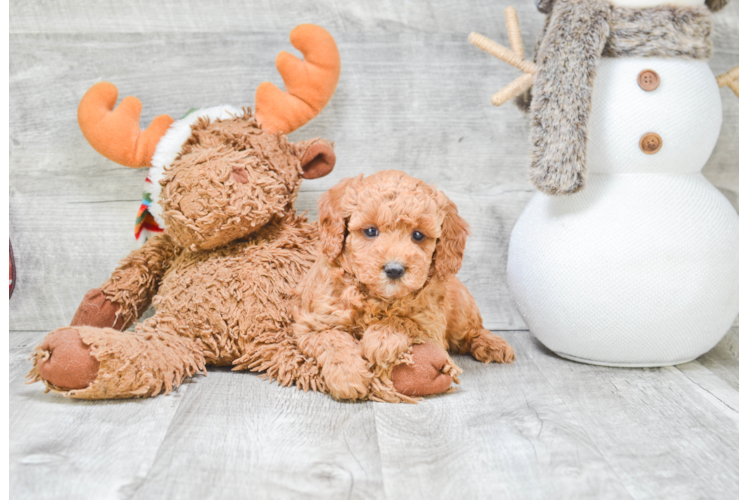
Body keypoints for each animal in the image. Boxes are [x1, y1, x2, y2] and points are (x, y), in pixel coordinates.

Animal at [292, 172, 516, 402]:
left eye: (418, 235)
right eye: (370, 231)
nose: (394, 269)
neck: (377, 297)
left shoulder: (431, 323)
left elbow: (404, 320)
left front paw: (381, 341)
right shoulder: (314, 322)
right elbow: (331, 338)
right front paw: (348, 375)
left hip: (462, 308)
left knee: (471, 330)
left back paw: (492, 344)